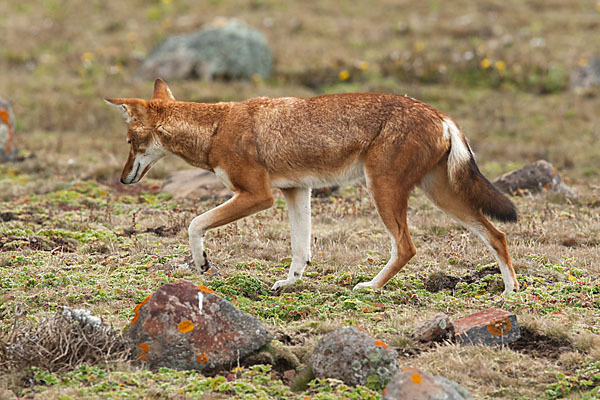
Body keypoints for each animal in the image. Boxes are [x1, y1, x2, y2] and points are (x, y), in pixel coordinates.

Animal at [105, 77, 516, 294]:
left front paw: (202, 263)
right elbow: (300, 250)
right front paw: (287, 285)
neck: (216, 128)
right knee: (497, 234)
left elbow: (193, 224)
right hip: (441, 197)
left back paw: (370, 287)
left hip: (384, 191)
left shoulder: (258, 196)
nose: (123, 179)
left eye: (129, 143)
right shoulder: (296, 192)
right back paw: (510, 293)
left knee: (407, 248)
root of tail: (441, 114)